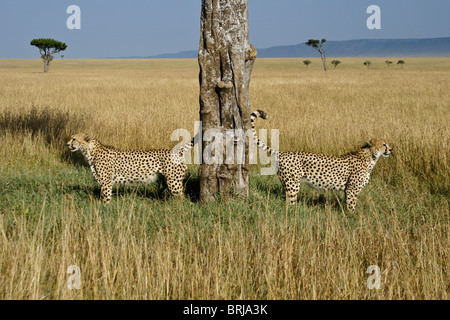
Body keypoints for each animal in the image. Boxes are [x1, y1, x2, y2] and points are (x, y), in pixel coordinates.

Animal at [251, 110, 392, 210]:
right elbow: (351, 206)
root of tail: (283, 152)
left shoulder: (348, 190)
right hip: (293, 184)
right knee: (289, 203)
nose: (390, 149)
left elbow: (347, 204)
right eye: (384, 144)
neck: (370, 156)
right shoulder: (352, 190)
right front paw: (352, 218)